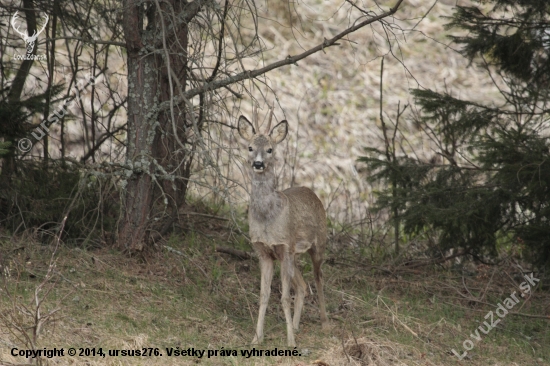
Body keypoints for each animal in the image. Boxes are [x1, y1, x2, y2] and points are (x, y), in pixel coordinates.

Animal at [237, 105, 328, 346]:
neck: (267, 217)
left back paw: (324, 322)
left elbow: (285, 297)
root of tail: (312, 192)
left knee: (318, 279)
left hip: (318, 244)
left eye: (270, 149)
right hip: (292, 255)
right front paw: (256, 338)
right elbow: (264, 295)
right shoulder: (265, 252)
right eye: (250, 147)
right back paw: (295, 326)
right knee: (303, 286)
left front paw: (290, 342)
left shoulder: (284, 246)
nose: (258, 163)